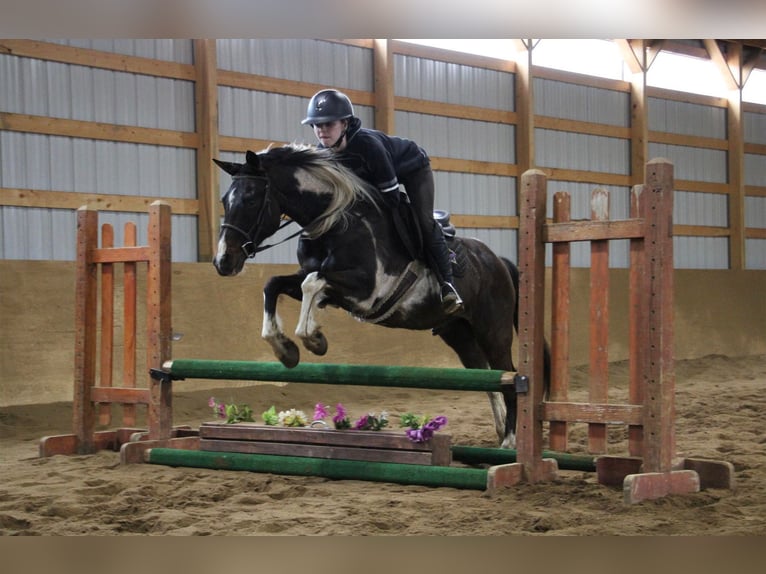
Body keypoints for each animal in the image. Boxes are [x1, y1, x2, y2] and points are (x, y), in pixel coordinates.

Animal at [213, 145, 548, 450]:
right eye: (224, 201)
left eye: (251, 199)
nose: (223, 262)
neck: (334, 221)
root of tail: (498, 261)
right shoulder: (320, 282)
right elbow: (275, 284)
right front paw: (286, 349)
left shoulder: (368, 290)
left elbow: (312, 284)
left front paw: (313, 339)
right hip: (458, 333)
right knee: (487, 377)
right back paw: (500, 432)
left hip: (493, 330)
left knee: (509, 376)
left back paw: (511, 440)